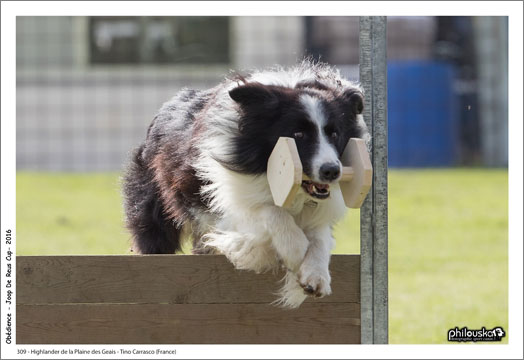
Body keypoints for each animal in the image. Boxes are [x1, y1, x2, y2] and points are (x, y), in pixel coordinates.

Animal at [122, 60, 368, 308]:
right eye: (298, 134)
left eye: (334, 133)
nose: (332, 171)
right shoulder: (215, 201)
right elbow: (268, 211)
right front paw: (296, 250)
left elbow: (320, 235)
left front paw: (316, 276)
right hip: (153, 208)